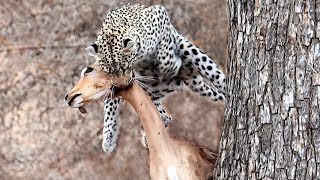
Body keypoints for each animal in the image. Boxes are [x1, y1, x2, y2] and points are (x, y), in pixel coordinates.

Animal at [85, 3, 225, 152]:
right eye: (109, 72)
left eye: (125, 67)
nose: (123, 86)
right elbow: (111, 105)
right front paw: (108, 138)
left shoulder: (160, 15)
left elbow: (165, 54)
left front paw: (173, 65)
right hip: (148, 93)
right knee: (164, 116)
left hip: (191, 51)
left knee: (219, 79)